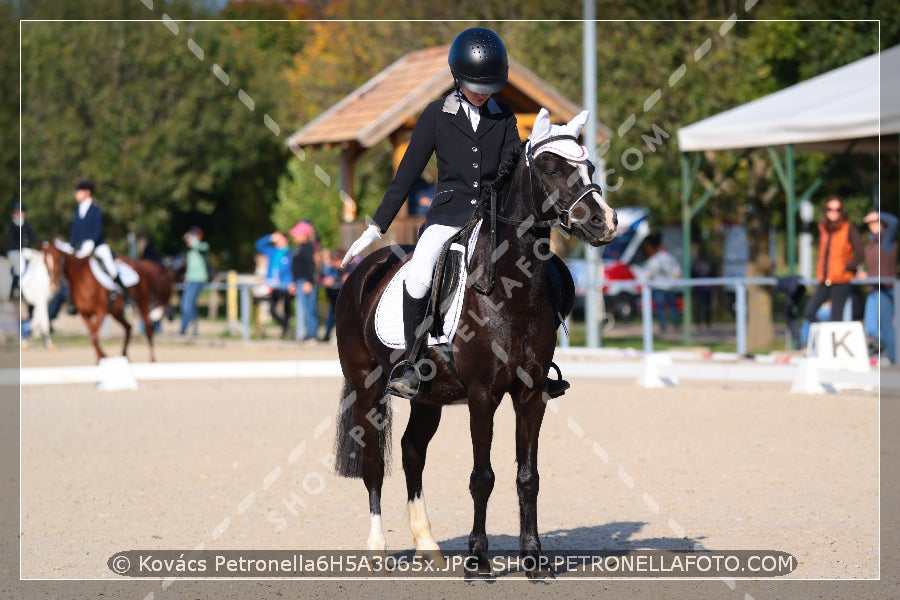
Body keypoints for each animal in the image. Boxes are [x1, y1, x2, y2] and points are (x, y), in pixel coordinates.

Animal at [43, 239, 173, 360]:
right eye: (44, 261)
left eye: (59, 259)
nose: (53, 286)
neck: (81, 279)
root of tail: (139, 265)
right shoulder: (84, 314)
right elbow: (92, 335)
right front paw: (100, 358)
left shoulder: (101, 311)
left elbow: (94, 335)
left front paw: (103, 357)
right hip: (116, 312)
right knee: (128, 327)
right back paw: (124, 355)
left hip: (142, 303)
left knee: (149, 330)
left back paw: (152, 360)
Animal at [332, 109, 620, 576]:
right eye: (549, 168)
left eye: (590, 168)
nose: (605, 222)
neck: (510, 290)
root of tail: (364, 269)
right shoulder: (483, 395)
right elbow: (482, 477)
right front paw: (478, 559)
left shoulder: (531, 394)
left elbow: (528, 476)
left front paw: (533, 558)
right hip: (367, 388)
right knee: (374, 461)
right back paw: (376, 549)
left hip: (428, 396)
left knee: (412, 450)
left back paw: (427, 544)